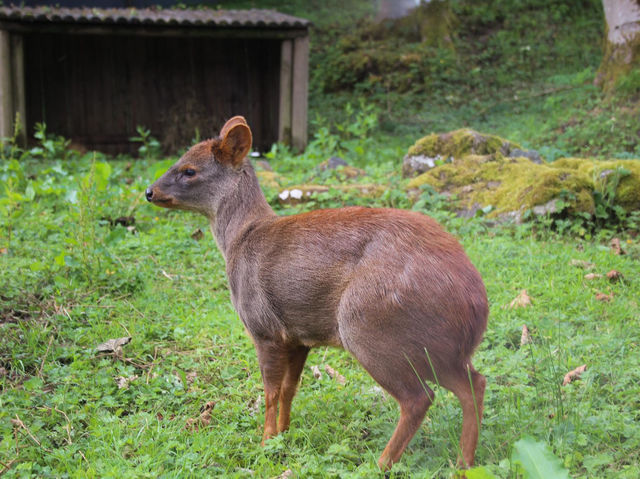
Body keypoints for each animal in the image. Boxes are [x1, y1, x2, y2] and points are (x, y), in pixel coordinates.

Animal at [144, 117, 484, 472]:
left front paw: (265, 443)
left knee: (419, 397)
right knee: (474, 383)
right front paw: (283, 434)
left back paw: (381, 463)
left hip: (370, 327)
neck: (240, 239)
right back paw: (464, 463)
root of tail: (478, 305)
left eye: (189, 170)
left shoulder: (264, 327)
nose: (149, 191)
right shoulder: (298, 336)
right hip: (441, 348)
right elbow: (289, 389)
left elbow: (270, 391)